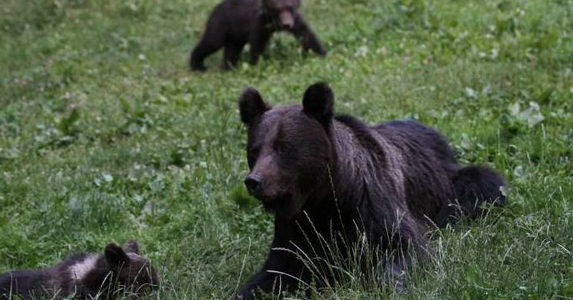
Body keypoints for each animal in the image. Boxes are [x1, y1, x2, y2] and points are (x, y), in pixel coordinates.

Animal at [235, 82, 502, 300]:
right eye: (255, 149)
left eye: (283, 148)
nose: (254, 181)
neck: (326, 197)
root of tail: (432, 131)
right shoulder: (297, 227)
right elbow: (276, 271)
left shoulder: (373, 206)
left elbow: (403, 249)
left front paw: (390, 284)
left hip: (453, 185)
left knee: (484, 185)